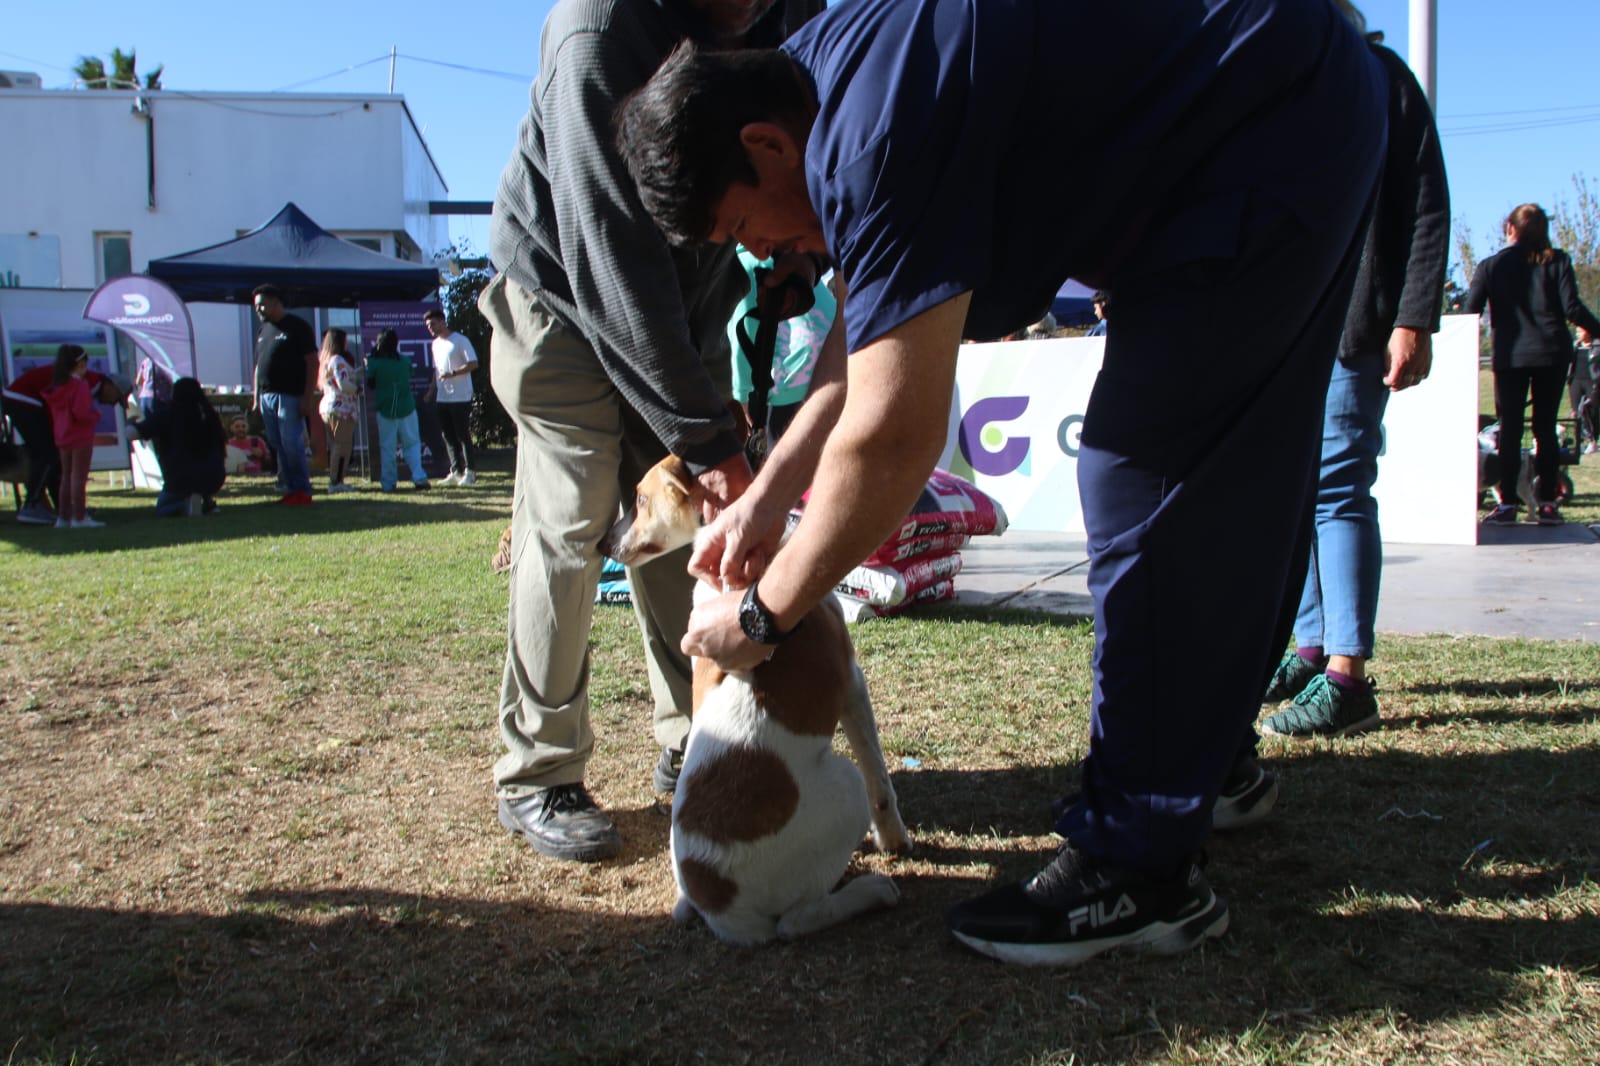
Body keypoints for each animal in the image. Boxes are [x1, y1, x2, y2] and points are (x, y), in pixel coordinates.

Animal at [598, 451, 915, 941]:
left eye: (639, 499)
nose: (604, 544)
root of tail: (721, 904)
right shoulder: (853, 684)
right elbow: (881, 779)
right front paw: (894, 838)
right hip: (843, 785)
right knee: (796, 920)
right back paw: (872, 891)